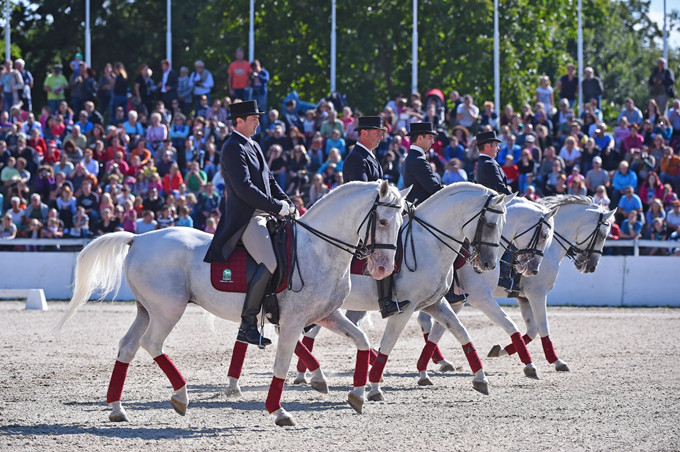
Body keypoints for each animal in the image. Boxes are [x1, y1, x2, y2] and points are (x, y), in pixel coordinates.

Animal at [55, 181, 406, 428]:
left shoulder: (326, 314)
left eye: (401, 220)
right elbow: (282, 363)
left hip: (147, 309)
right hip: (168, 310)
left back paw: (117, 408)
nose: (384, 268)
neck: (318, 249)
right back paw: (180, 395)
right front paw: (279, 411)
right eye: (383, 221)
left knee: (128, 346)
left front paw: (356, 395)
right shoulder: (293, 319)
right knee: (151, 343)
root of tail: (138, 238)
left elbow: (361, 341)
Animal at [230, 182, 510, 404]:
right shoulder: (406, 307)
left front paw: (480, 378)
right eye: (491, 224)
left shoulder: (435, 303)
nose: (488, 263)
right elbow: (389, 343)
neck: (429, 242)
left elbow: (461, 332)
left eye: (502, 225)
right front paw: (374, 387)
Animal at [424, 194, 616, 374]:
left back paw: (440, 361)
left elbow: (532, 330)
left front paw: (500, 350)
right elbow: (542, 326)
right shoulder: (536, 293)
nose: (591, 266)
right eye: (603, 235)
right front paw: (555, 361)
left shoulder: (523, 298)